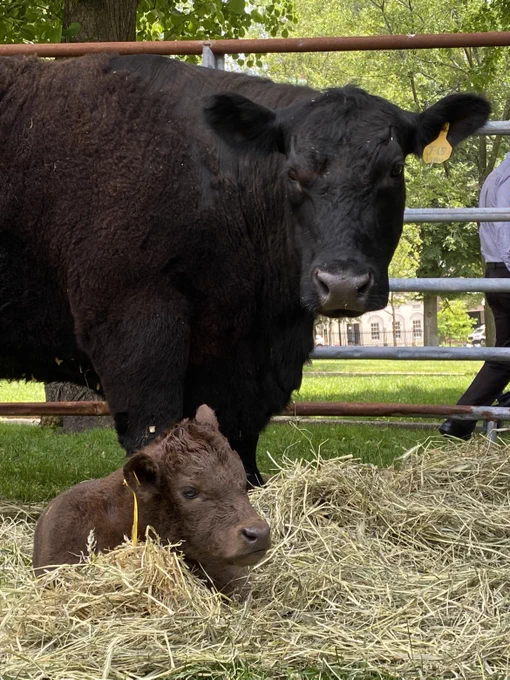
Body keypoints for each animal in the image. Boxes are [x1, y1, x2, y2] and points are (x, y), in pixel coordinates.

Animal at [0, 54, 490, 486]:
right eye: (291, 173)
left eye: (394, 170)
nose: (342, 284)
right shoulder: (131, 323)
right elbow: (153, 438)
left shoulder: (240, 363)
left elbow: (239, 447)